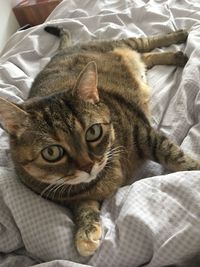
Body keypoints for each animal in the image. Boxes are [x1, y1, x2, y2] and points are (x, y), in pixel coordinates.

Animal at [0, 26, 200, 258]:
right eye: (52, 152)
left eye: (93, 132)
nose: (88, 166)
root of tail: (62, 51)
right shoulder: (76, 198)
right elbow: (84, 210)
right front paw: (86, 232)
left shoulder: (144, 133)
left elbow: (177, 157)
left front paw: (195, 168)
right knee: (145, 57)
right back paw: (177, 55)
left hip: (122, 42)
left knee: (147, 42)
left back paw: (180, 39)